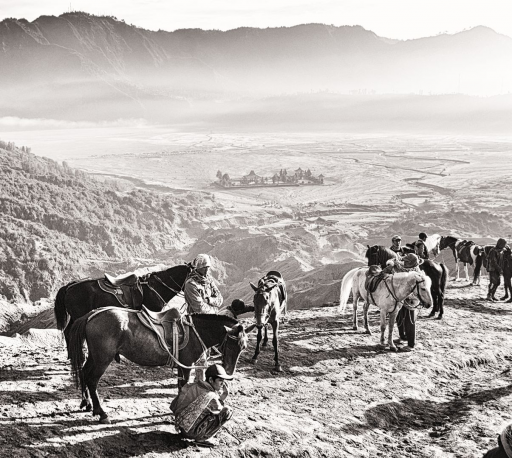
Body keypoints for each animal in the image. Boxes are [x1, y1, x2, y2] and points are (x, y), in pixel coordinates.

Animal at [68, 310, 252, 424]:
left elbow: (180, 386)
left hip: (94, 356)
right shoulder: (187, 365)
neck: (194, 332)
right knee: (92, 380)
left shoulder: (182, 366)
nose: (229, 372)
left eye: (243, 347)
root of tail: (91, 315)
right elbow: (183, 386)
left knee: (84, 373)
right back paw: (101, 413)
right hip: (102, 359)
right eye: (230, 345)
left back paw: (87, 403)